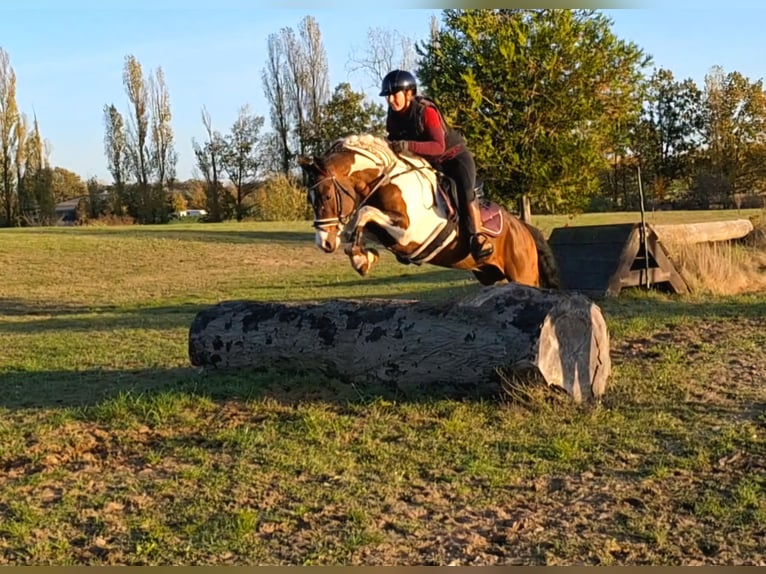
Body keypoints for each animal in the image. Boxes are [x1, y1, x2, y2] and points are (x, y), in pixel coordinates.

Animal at [300, 133, 564, 290]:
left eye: (325, 196)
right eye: (310, 198)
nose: (324, 243)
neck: (387, 180)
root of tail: (524, 229)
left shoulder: (409, 233)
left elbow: (365, 212)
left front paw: (361, 258)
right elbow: (361, 223)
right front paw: (363, 257)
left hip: (523, 274)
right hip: (490, 275)